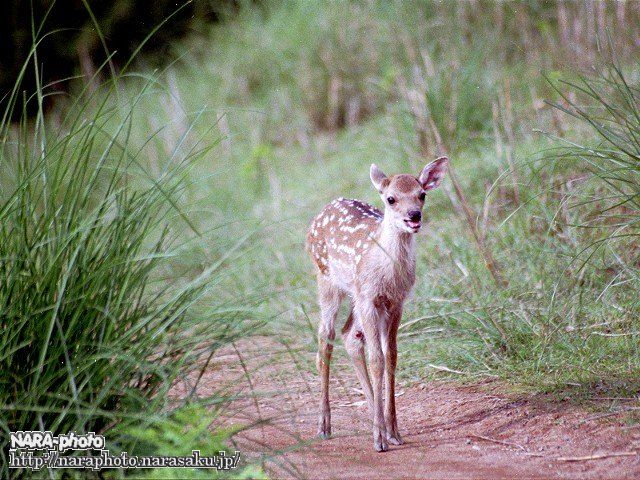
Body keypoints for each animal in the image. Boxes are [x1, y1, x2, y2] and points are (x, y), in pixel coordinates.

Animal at [306, 157, 450, 450]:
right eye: (391, 198)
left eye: (422, 194)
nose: (414, 216)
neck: (386, 270)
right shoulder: (370, 298)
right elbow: (376, 359)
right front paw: (379, 438)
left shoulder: (395, 302)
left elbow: (391, 356)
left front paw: (393, 431)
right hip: (327, 280)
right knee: (326, 337)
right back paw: (324, 426)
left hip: (356, 296)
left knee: (349, 335)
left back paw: (375, 417)